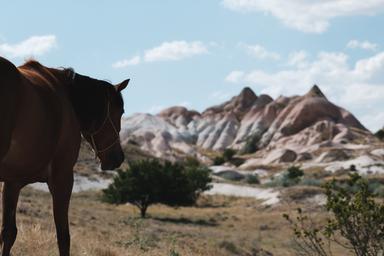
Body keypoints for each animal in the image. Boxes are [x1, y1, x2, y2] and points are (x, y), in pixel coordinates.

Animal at [0, 57, 130, 255]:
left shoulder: (12, 183)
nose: (118, 158)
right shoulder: (63, 178)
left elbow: (8, 233)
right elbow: (63, 237)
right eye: (120, 112)